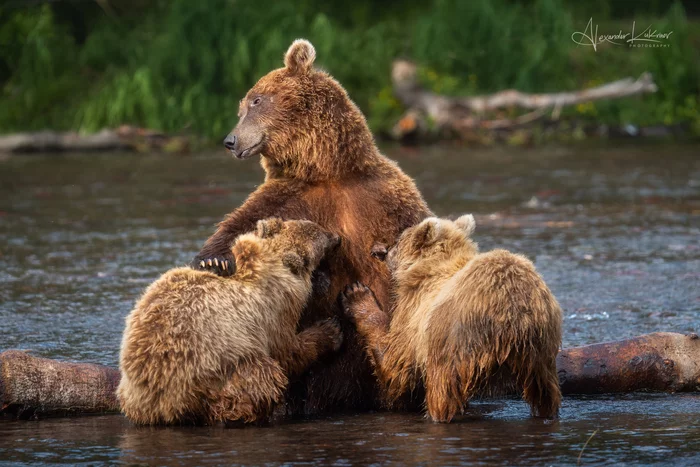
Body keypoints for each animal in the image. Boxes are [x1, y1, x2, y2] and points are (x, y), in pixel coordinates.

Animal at [193, 39, 432, 414]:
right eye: (242, 106)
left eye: (256, 100)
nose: (230, 140)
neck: (327, 170)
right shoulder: (291, 196)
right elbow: (243, 223)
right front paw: (212, 259)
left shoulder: (383, 197)